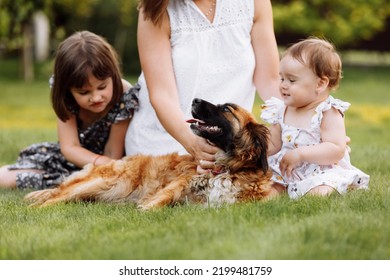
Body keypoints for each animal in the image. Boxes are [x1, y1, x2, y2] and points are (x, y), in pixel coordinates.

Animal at [24, 97, 274, 209]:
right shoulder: (179, 185)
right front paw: (145, 210)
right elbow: (162, 198)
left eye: (226, 109)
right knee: (56, 197)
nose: (194, 100)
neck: (227, 168)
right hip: (104, 182)